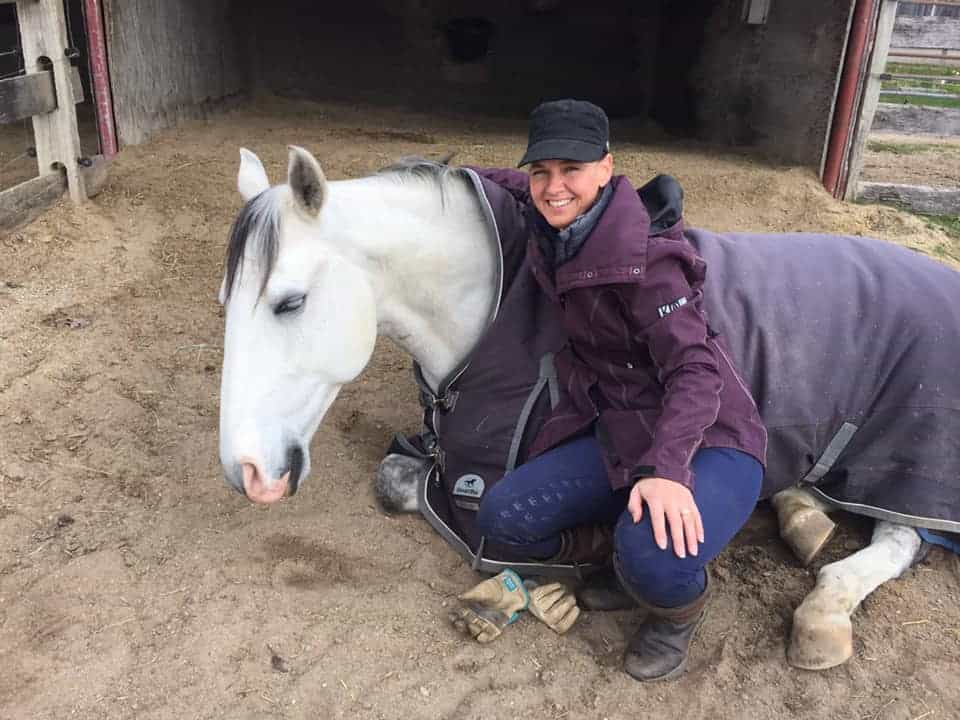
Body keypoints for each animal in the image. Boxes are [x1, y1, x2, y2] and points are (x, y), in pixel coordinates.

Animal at [219, 145, 928, 668]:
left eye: (289, 302)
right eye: (226, 301)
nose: (244, 471)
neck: (495, 305)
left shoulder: (484, 489)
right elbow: (394, 476)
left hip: (905, 464)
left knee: (901, 536)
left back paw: (823, 614)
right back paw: (803, 516)